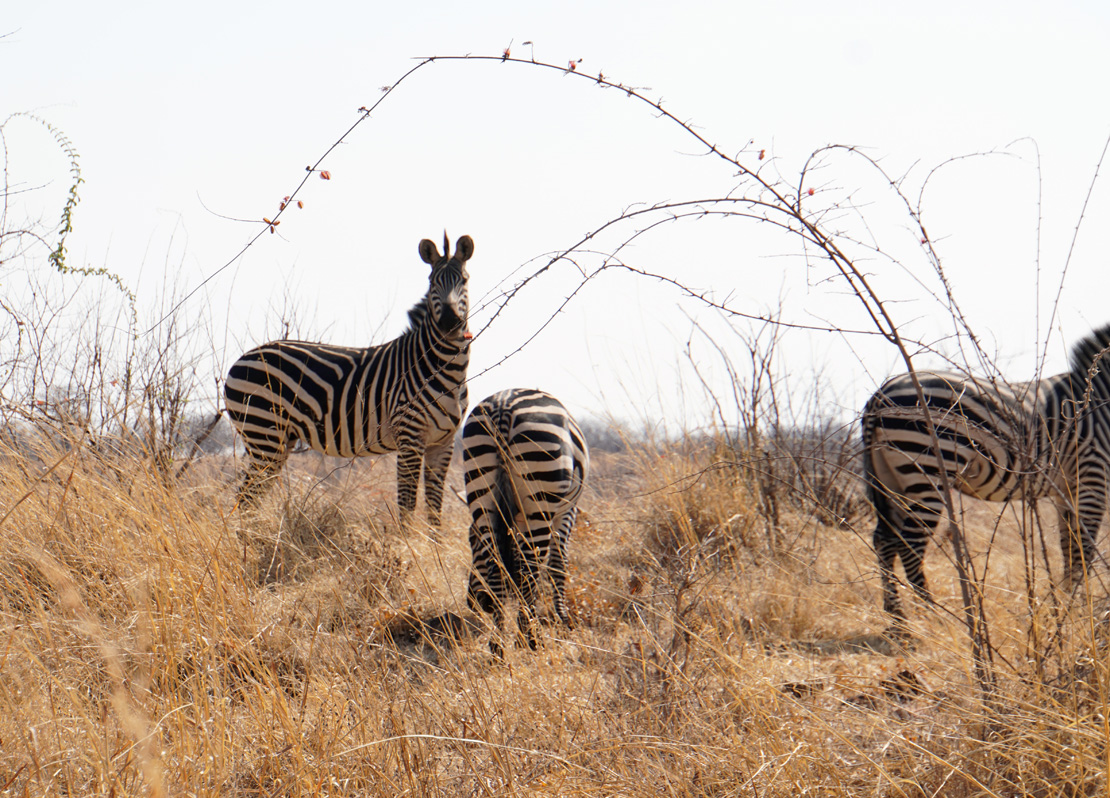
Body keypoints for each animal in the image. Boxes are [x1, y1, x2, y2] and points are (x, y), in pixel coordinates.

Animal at [223, 233, 475, 533]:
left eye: (464, 280)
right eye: (432, 282)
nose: (450, 323)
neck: (444, 367)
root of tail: (239, 360)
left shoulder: (443, 443)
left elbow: (435, 511)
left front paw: (433, 545)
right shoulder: (410, 437)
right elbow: (407, 506)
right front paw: (406, 544)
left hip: (278, 440)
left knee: (251, 498)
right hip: (263, 434)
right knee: (245, 499)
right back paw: (249, 538)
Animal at [462, 388, 590, 654]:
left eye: (471, 543)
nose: (474, 603)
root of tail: (503, 404)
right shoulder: (567, 512)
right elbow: (558, 564)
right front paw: (562, 619)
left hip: (481, 490)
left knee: (498, 569)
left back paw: (498, 646)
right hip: (540, 494)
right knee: (531, 569)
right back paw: (529, 639)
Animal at [862, 323, 1110, 625]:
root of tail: (879, 394)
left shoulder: (1068, 487)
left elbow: (1069, 549)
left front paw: (1063, 609)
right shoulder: (1093, 474)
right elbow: (1083, 550)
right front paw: (1076, 614)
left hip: (891, 479)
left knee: (884, 540)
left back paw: (897, 620)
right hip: (926, 471)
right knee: (910, 544)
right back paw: (935, 618)